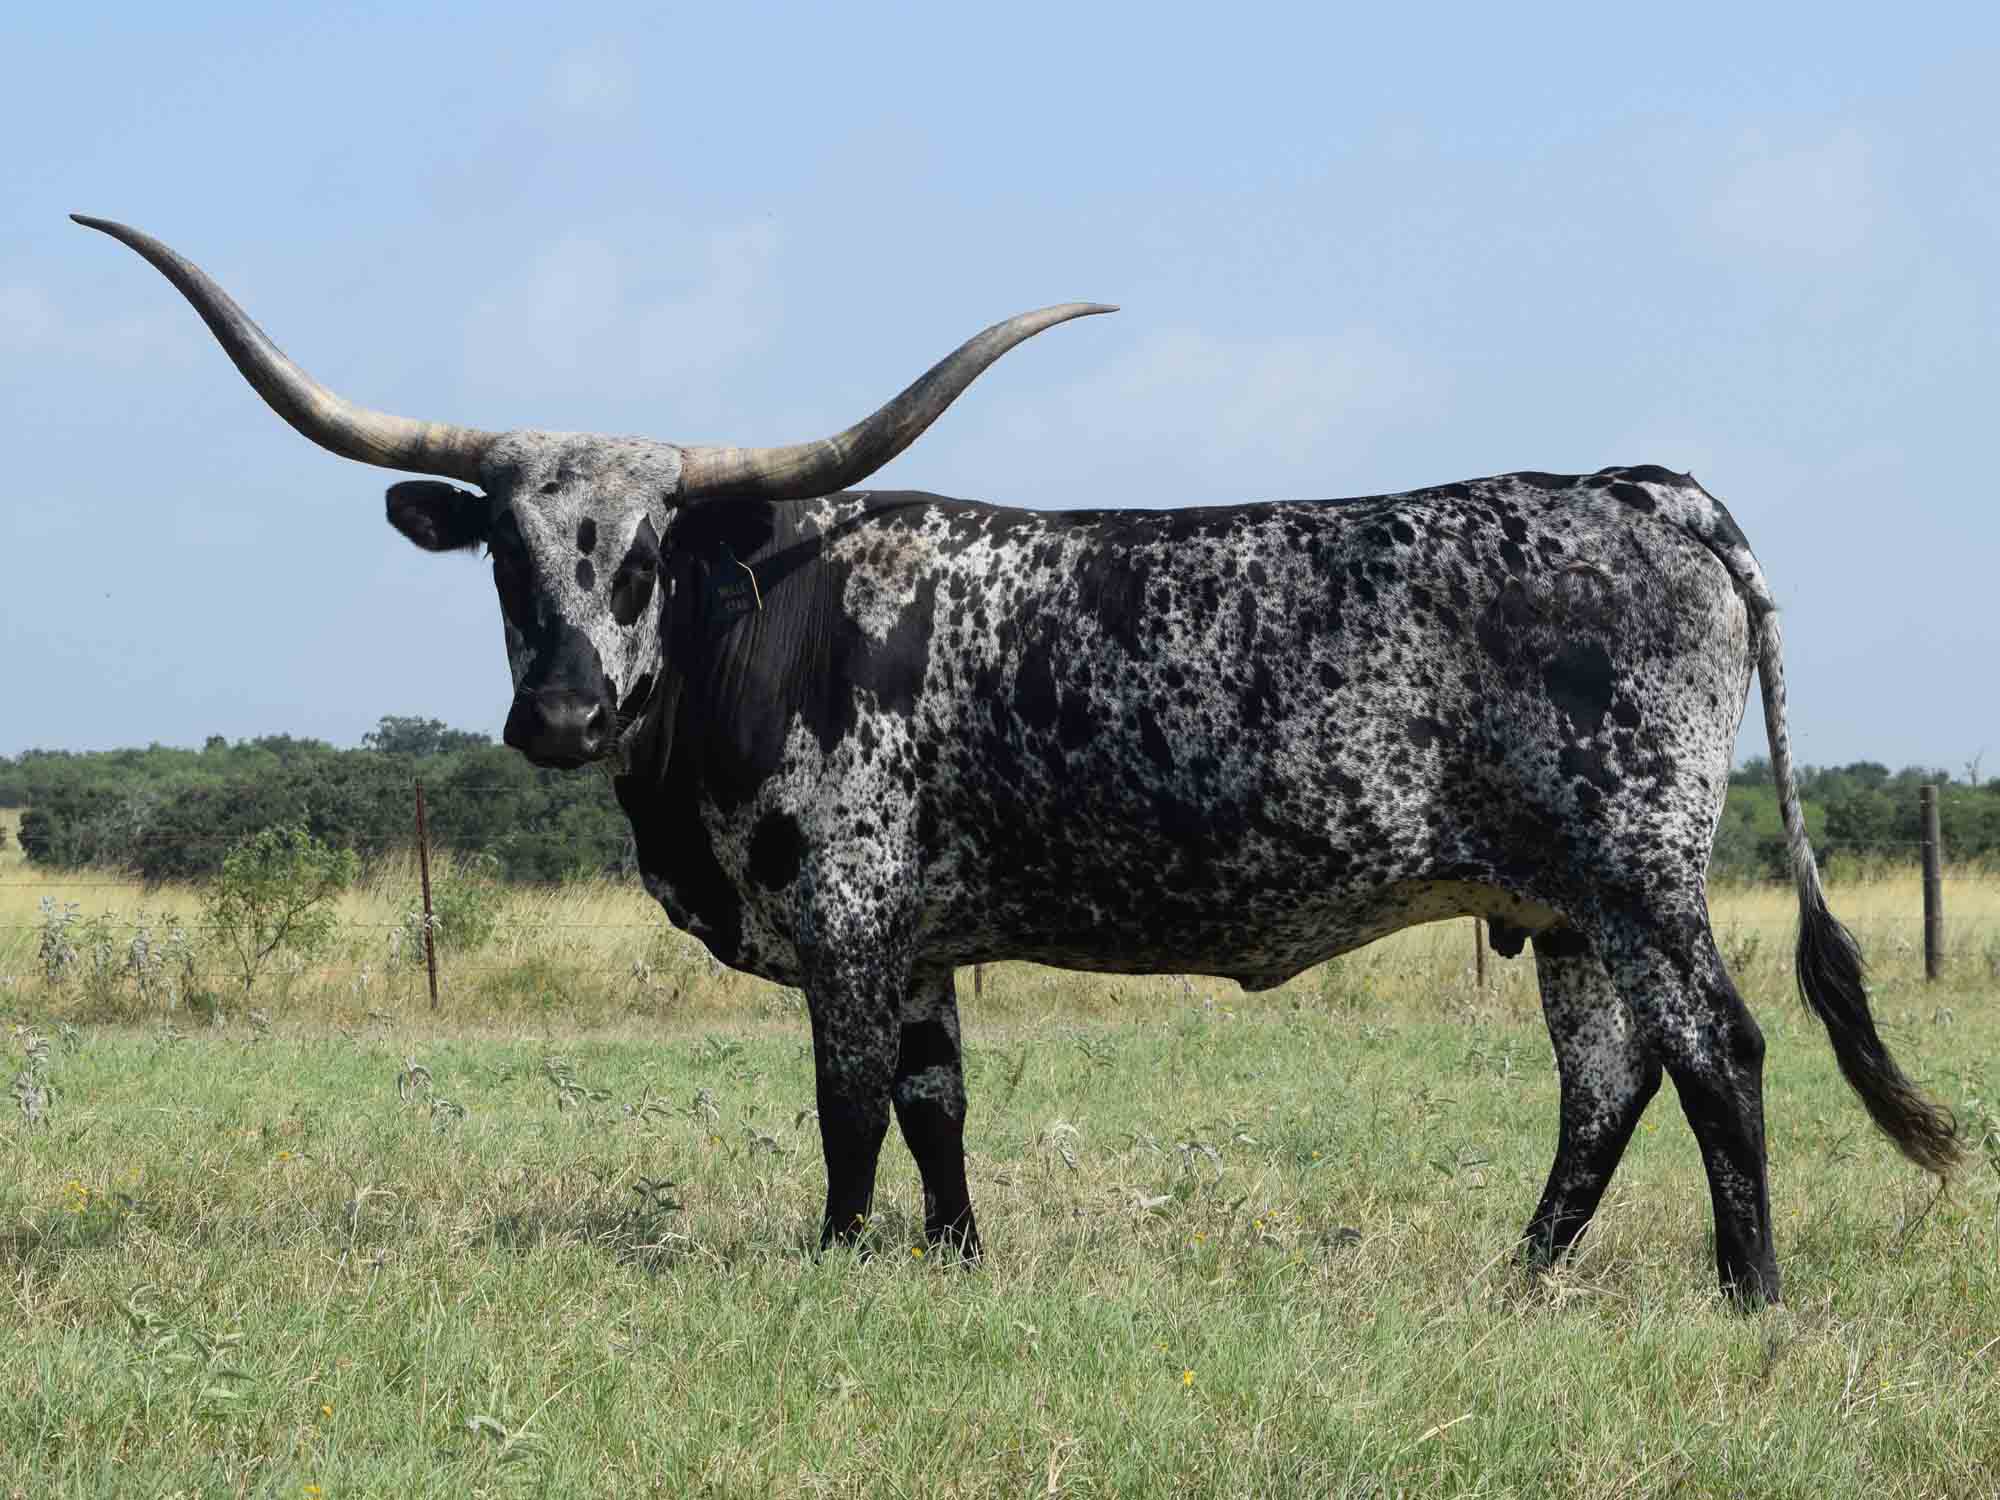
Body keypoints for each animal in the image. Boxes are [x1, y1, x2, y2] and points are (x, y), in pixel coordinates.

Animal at [77, 214, 1958, 1305]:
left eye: (647, 555)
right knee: (1605, 1082)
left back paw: (1749, 1291)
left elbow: (846, 1110)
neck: (761, 624)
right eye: (503, 555)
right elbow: (936, 1106)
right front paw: (952, 1265)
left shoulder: (844, 918)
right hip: (1559, 906)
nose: (560, 714)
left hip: (1640, 872)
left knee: (1717, 1051)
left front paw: (833, 1267)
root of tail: (1640, 486)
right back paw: (1518, 1275)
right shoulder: (915, 943)